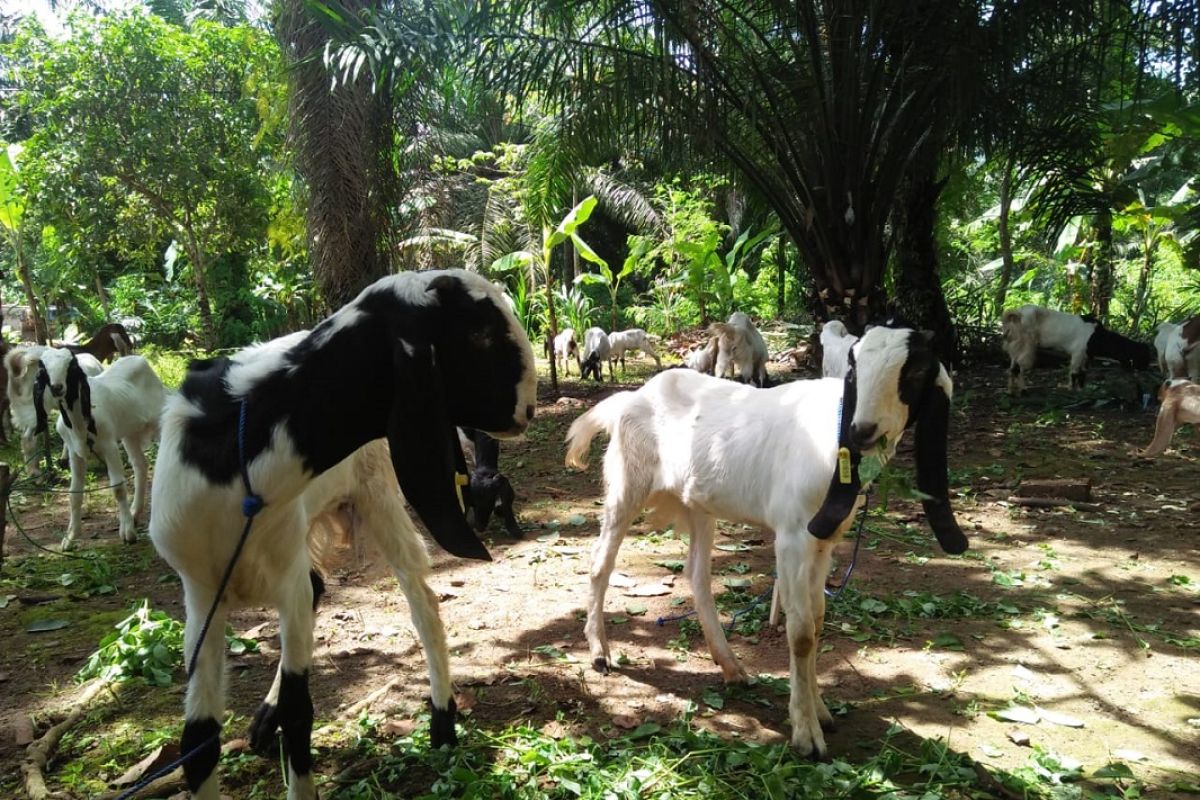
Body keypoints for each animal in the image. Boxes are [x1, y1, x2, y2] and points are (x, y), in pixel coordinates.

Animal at [39, 350, 165, 551]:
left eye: (71, 365)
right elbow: (74, 493)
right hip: (129, 432)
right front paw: (70, 537)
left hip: (159, 420)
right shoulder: (75, 453)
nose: (57, 387)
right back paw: (135, 512)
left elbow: (118, 488)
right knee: (140, 465)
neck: (80, 423)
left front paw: (127, 532)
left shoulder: (109, 445)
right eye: (43, 367)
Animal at [151, 271, 540, 800]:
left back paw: (442, 720)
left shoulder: (284, 578)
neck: (241, 459)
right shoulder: (201, 591)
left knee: (422, 602)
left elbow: (300, 713)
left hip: (377, 494)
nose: (529, 407)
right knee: (322, 587)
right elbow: (198, 739)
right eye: (478, 333)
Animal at [566, 326, 969, 758]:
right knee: (601, 563)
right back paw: (600, 654)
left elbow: (818, 619)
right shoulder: (791, 537)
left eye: (916, 371)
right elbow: (802, 632)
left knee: (697, 576)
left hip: (699, 504)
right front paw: (807, 733)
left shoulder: (824, 542)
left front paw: (820, 710)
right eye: (856, 367)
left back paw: (732, 666)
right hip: (628, 483)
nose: (862, 431)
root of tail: (632, 397)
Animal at [1003, 303, 1152, 393]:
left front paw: (1081, 390)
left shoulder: (1085, 356)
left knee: (1012, 368)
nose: (1146, 368)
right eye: (1143, 356)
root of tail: (1017, 313)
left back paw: (1010, 391)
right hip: (1025, 345)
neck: (1096, 335)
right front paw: (1071, 390)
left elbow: (1082, 373)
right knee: (1020, 367)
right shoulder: (1077, 352)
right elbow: (1074, 372)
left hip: (1014, 345)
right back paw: (1023, 390)